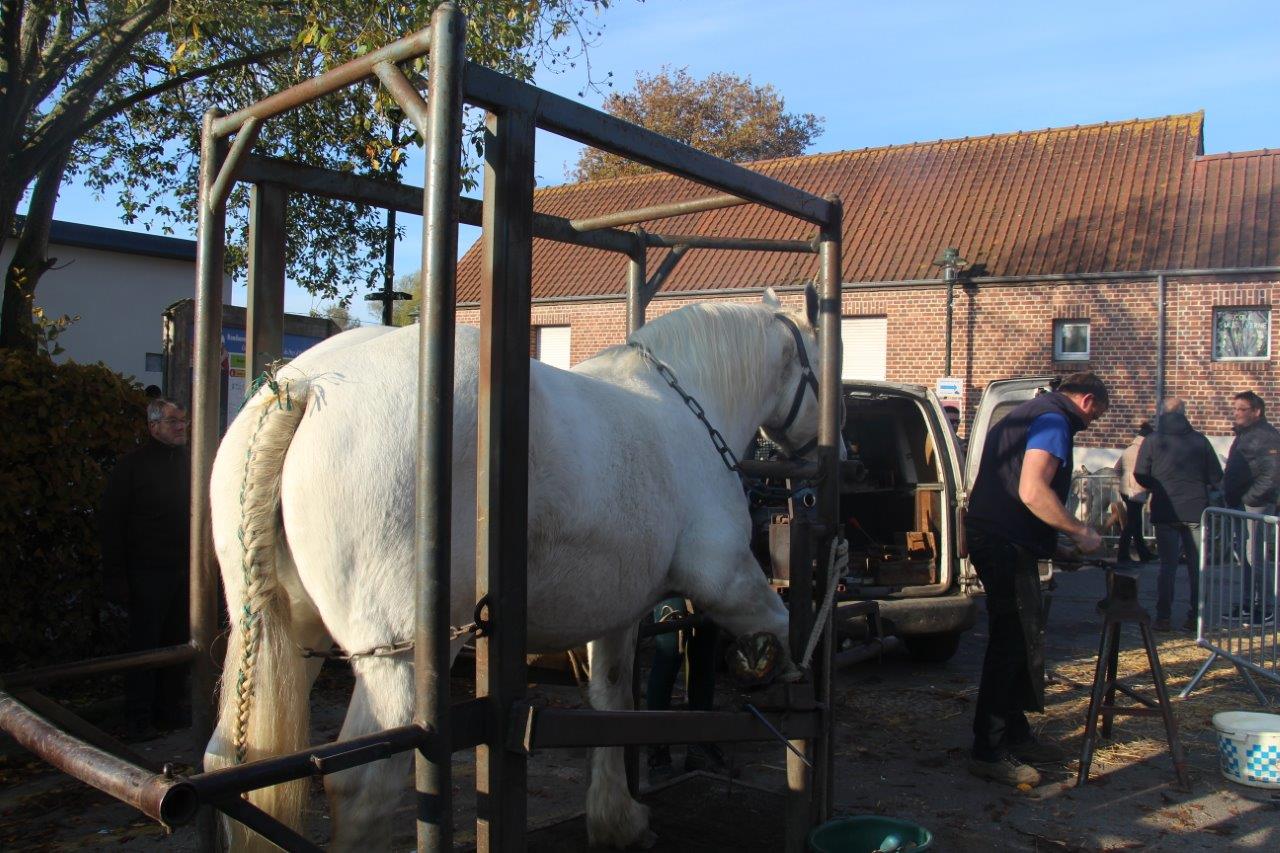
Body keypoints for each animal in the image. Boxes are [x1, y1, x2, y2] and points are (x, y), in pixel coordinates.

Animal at [203, 284, 824, 845]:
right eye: (820, 366)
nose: (829, 454)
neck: (687, 411)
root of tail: (305, 386)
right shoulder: (727, 580)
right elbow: (783, 629)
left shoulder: (617, 611)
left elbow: (612, 701)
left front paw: (616, 819)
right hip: (396, 659)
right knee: (364, 788)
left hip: (289, 634)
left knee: (228, 761)